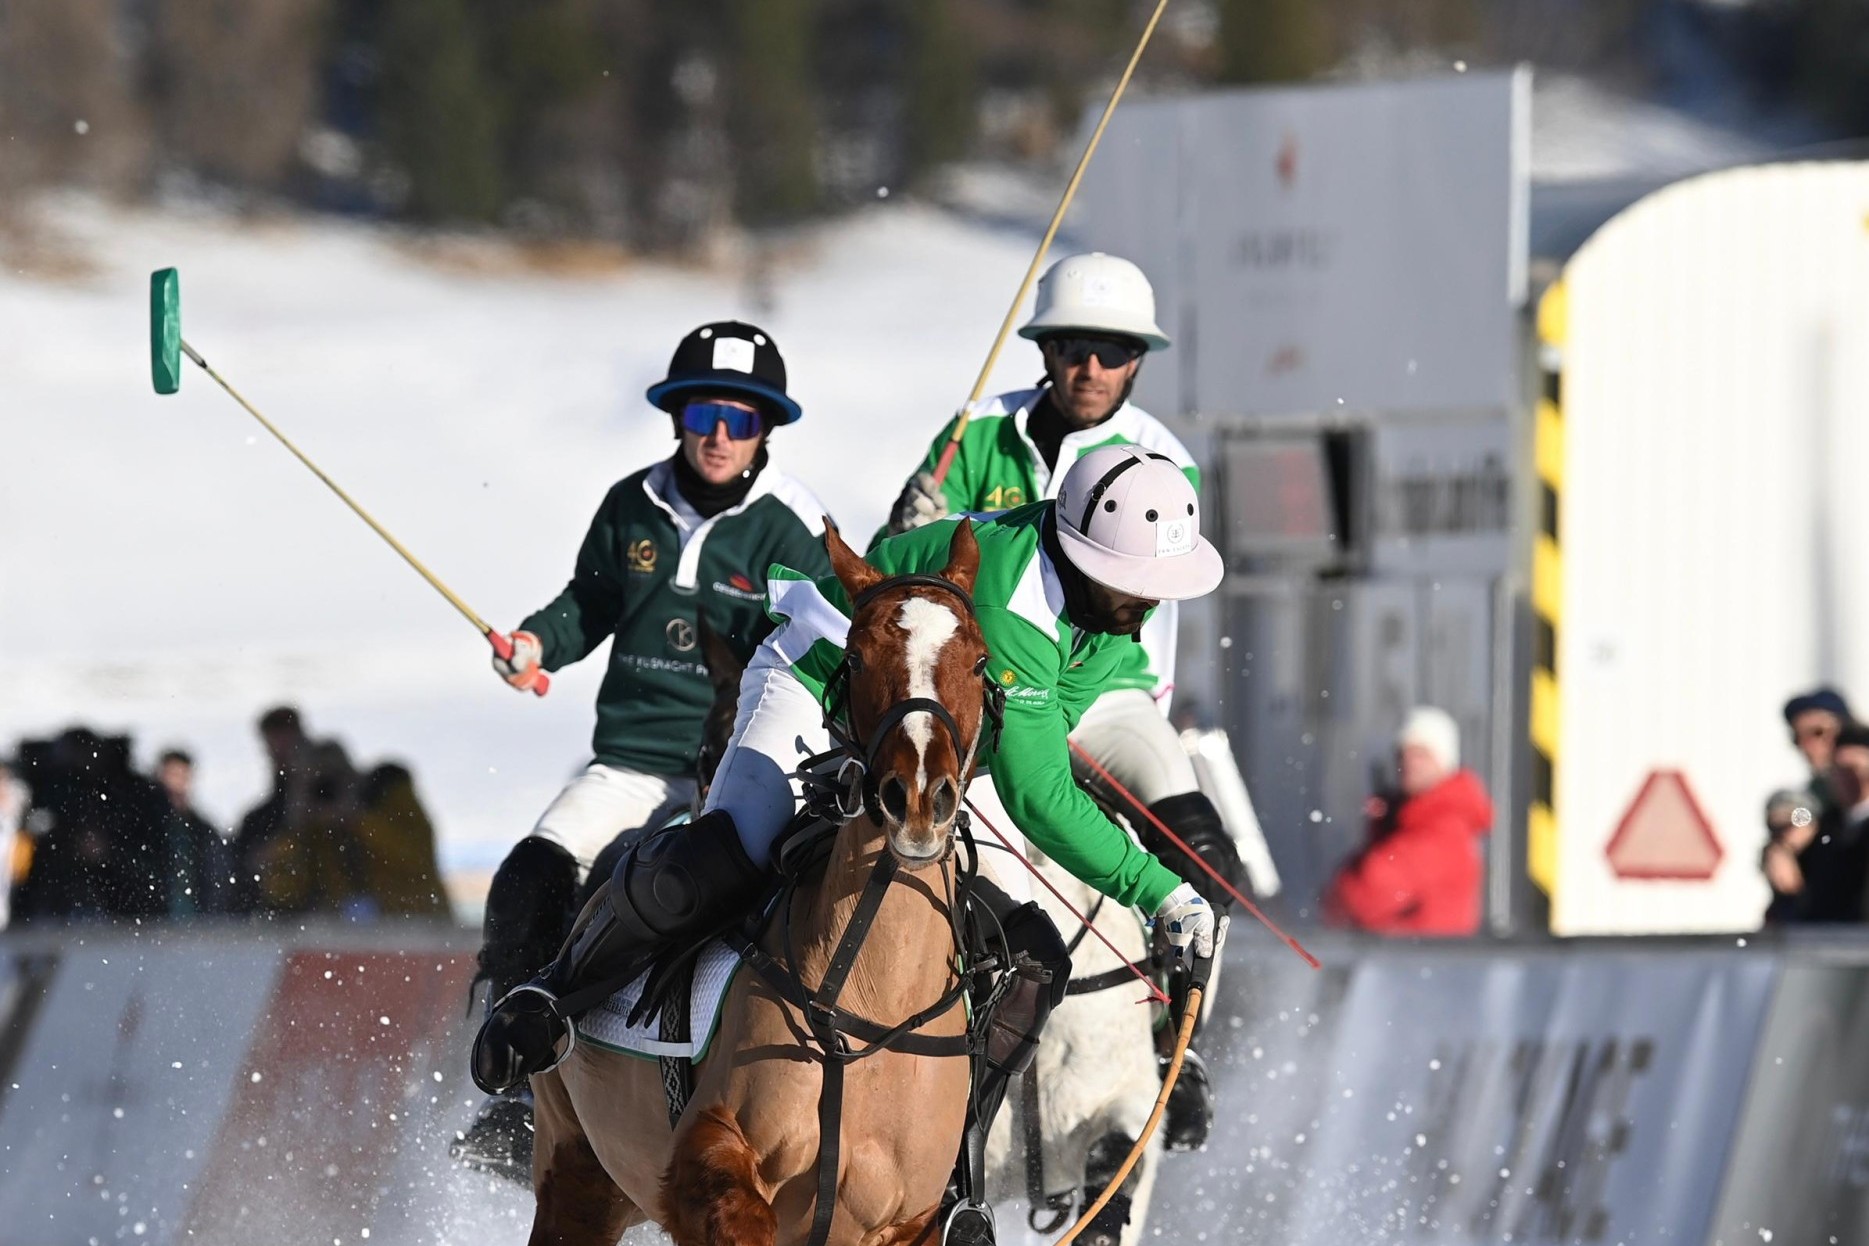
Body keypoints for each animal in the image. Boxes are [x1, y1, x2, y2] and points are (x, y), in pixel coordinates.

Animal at [534, 523, 1001, 1240]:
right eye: (855, 657)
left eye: (978, 662)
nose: (919, 798)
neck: (868, 1005)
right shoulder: (706, 1164)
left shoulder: (914, 1219)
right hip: (574, 1166)